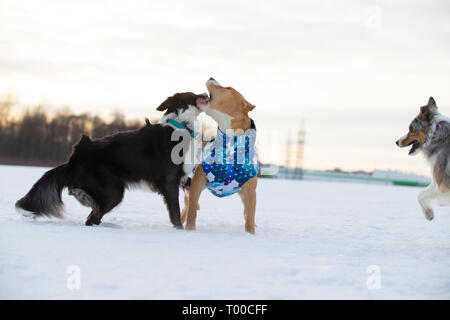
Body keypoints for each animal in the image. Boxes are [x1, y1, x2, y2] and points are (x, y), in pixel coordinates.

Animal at [179, 77, 256, 232]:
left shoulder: (250, 192)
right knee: (187, 208)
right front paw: (190, 230)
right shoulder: (196, 183)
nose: (211, 77)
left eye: (228, 88)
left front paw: (250, 234)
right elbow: (192, 212)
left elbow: (250, 218)